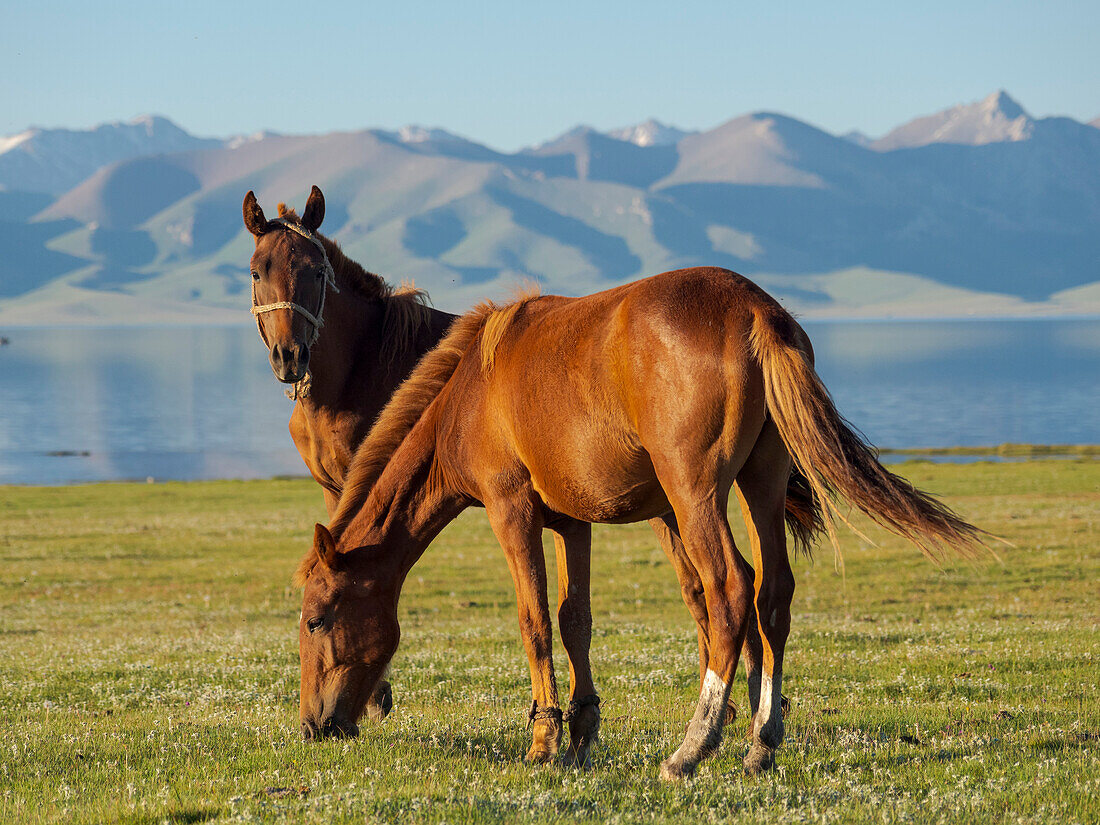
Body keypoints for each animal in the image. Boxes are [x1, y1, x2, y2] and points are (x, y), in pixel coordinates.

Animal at [292, 268, 981, 778]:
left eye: (315, 620)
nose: (312, 726)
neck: (467, 397)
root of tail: (755, 310)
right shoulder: (570, 523)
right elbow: (575, 621)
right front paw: (581, 732)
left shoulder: (513, 512)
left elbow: (534, 621)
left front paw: (544, 742)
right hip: (758, 484)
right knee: (773, 594)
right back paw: (761, 742)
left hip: (694, 493)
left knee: (731, 589)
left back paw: (692, 748)